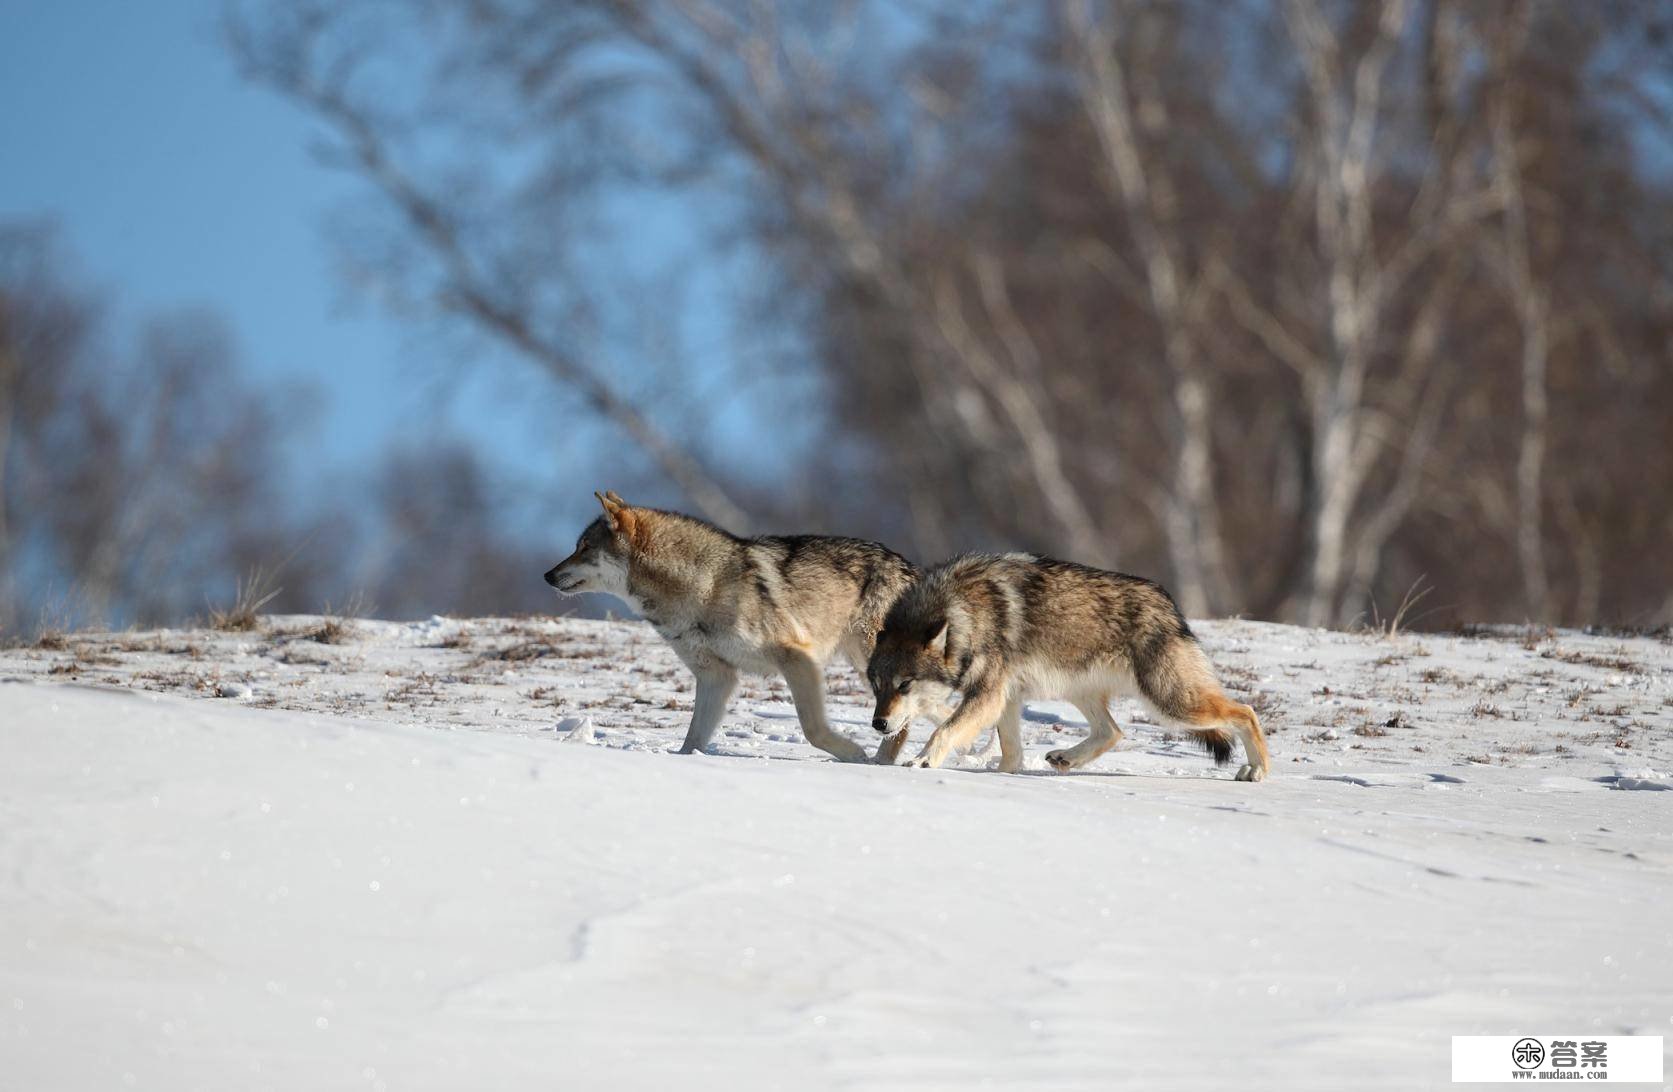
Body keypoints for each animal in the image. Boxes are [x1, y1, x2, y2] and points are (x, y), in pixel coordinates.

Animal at [545, 488, 943, 762]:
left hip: (873, 666)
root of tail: (913, 569)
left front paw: (852, 754)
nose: (547, 575)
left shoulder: (798, 659)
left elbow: (812, 728)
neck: (701, 588)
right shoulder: (716, 676)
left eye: (584, 547)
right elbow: (692, 740)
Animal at [863, 558, 1264, 779]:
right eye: (877, 685)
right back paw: (1066, 758)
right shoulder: (1006, 698)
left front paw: (921, 761)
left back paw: (1256, 771)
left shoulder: (988, 696)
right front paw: (1004, 776)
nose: (878, 724)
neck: (963, 613)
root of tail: (1169, 604)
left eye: (905, 685)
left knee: (1246, 711)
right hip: (1079, 691)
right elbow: (1011, 753)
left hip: (1170, 703)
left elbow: (943, 731)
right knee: (1113, 731)